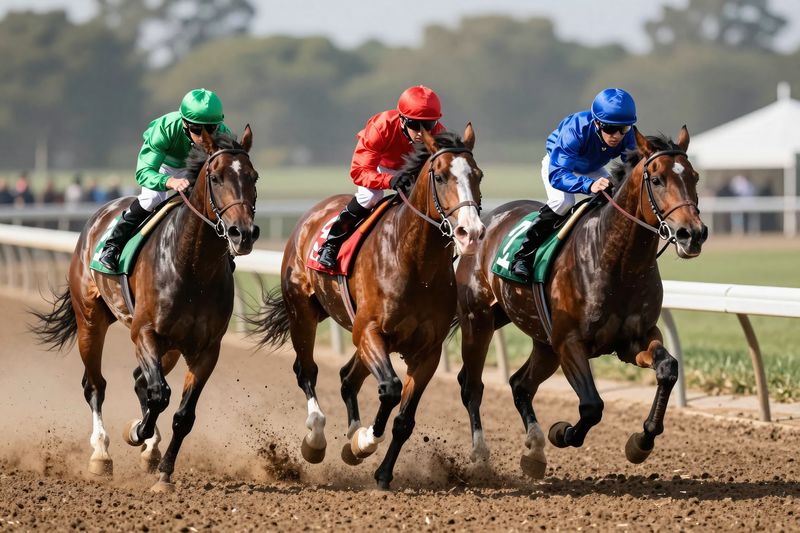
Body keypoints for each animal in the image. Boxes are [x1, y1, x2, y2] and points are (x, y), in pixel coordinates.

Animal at [30, 127, 259, 492]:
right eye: (216, 177)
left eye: (253, 177)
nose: (244, 234)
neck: (192, 266)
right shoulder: (145, 332)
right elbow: (159, 395)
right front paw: (137, 432)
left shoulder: (206, 349)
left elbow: (182, 414)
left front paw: (163, 470)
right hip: (90, 321)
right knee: (95, 385)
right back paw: (101, 454)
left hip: (172, 348)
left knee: (140, 381)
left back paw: (150, 450)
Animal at [250, 125, 485, 489]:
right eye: (442, 175)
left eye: (478, 175)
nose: (470, 232)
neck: (415, 262)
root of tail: (311, 214)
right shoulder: (371, 331)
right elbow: (389, 390)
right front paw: (363, 442)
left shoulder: (428, 352)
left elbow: (404, 420)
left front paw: (382, 472)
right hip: (303, 312)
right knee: (307, 371)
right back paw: (316, 439)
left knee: (348, 378)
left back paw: (349, 432)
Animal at [455, 126, 708, 478]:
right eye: (657, 179)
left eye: (695, 176)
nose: (692, 234)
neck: (617, 261)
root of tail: (485, 223)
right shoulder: (569, 342)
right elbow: (592, 406)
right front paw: (562, 432)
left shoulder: (634, 340)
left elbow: (668, 369)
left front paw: (641, 441)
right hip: (478, 321)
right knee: (471, 385)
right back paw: (481, 456)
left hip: (542, 342)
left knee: (520, 384)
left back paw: (534, 452)